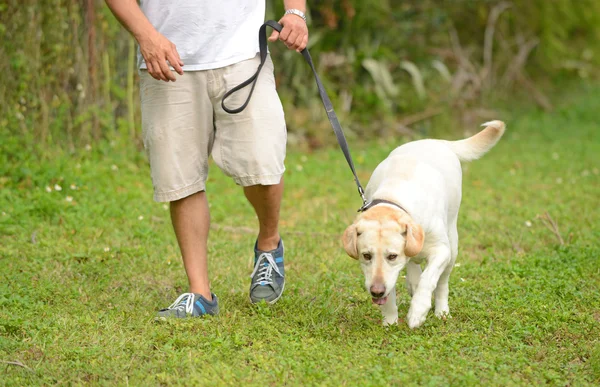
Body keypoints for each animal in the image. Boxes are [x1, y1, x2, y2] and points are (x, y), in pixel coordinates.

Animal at [342, 120, 506, 328]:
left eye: (392, 256)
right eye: (366, 255)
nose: (376, 291)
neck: (394, 198)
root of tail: (436, 141)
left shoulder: (441, 250)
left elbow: (428, 279)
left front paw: (418, 311)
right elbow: (392, 294)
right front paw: (390, 321)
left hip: (452, 245)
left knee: (442, 282)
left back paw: (441, 311)